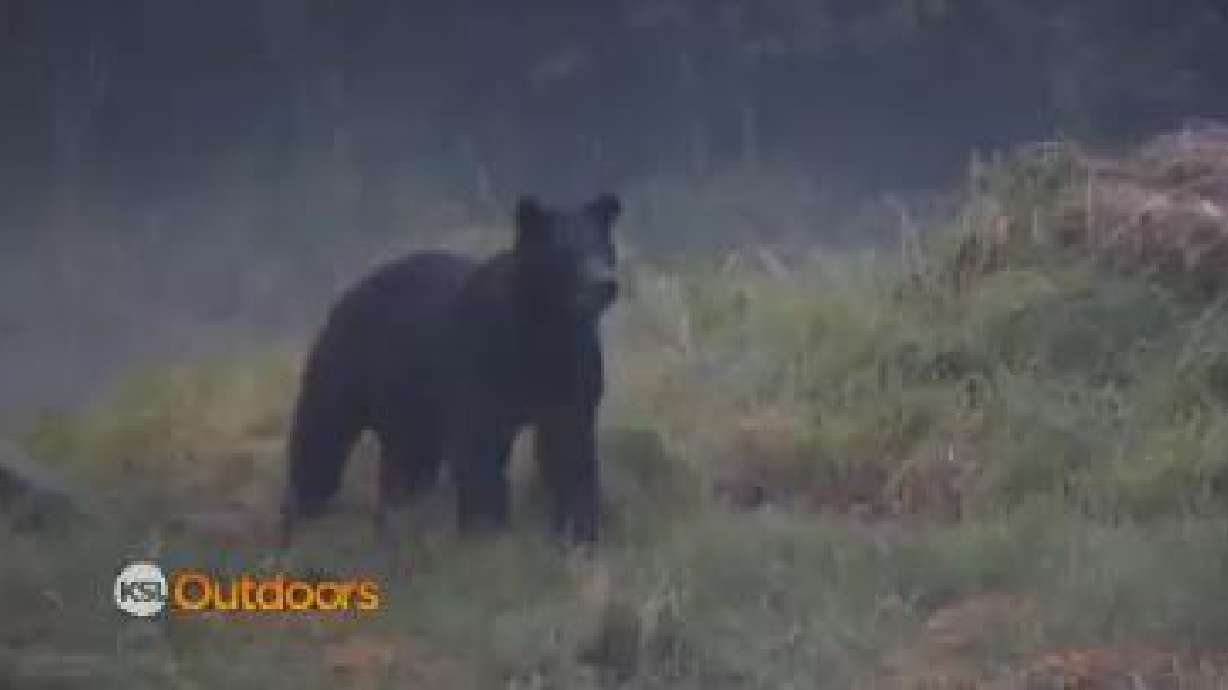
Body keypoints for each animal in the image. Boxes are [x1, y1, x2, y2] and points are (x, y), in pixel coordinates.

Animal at [280, 193, 622, 547]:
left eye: (604, 246)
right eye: (566, 251)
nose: (605, 283)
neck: (542, 329)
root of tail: (347, 294)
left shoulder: (572, 367)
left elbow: (569, 446)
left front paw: (579, 535)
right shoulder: (481, 359)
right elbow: (480, 447)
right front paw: (490, 533)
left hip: (408, 400)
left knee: (408, 462)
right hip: (349, 364)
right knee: (322, 435)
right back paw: (304, 514)